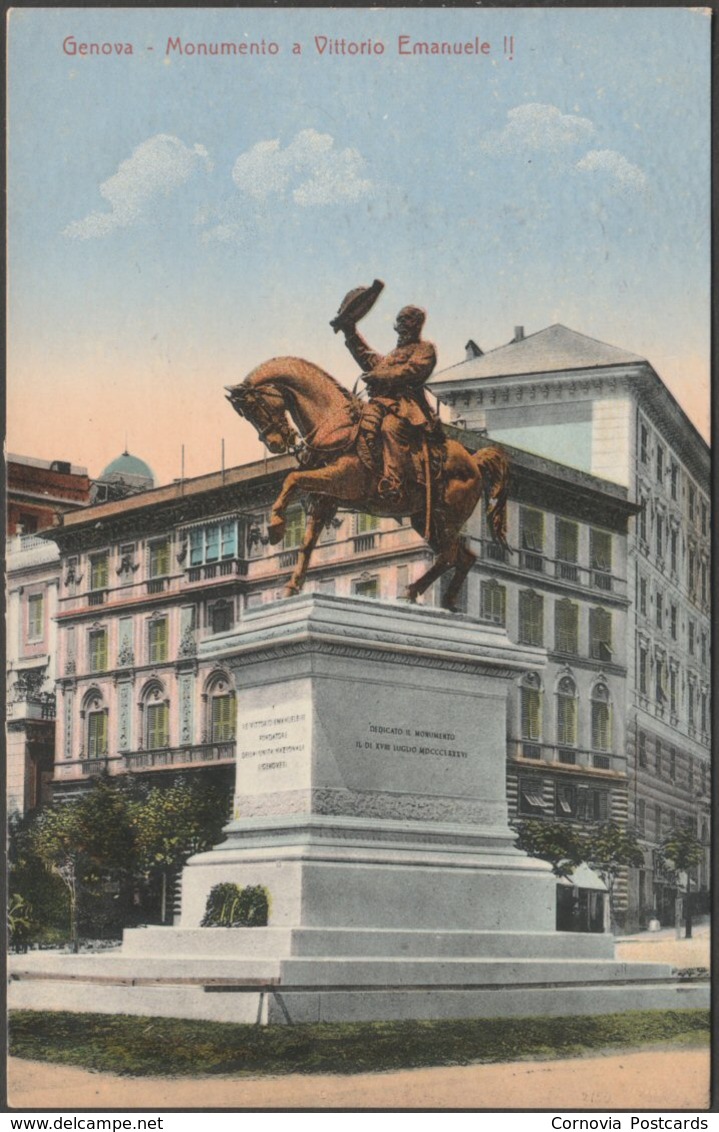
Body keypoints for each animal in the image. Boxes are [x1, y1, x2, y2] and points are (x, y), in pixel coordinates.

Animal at [227, 359, 509, 611]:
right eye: (245, 414)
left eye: (254, 405)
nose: (276, 443)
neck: (334, 422)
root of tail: (474, 462)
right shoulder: (324, 499)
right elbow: (306, 545)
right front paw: (291, 588)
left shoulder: (342, 479)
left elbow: (292, 479)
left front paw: (275, 527)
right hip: (426, 520)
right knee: (463, 557)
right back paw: (441, 600)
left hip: (447, 518)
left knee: (451, 555)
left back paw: (414, 591)